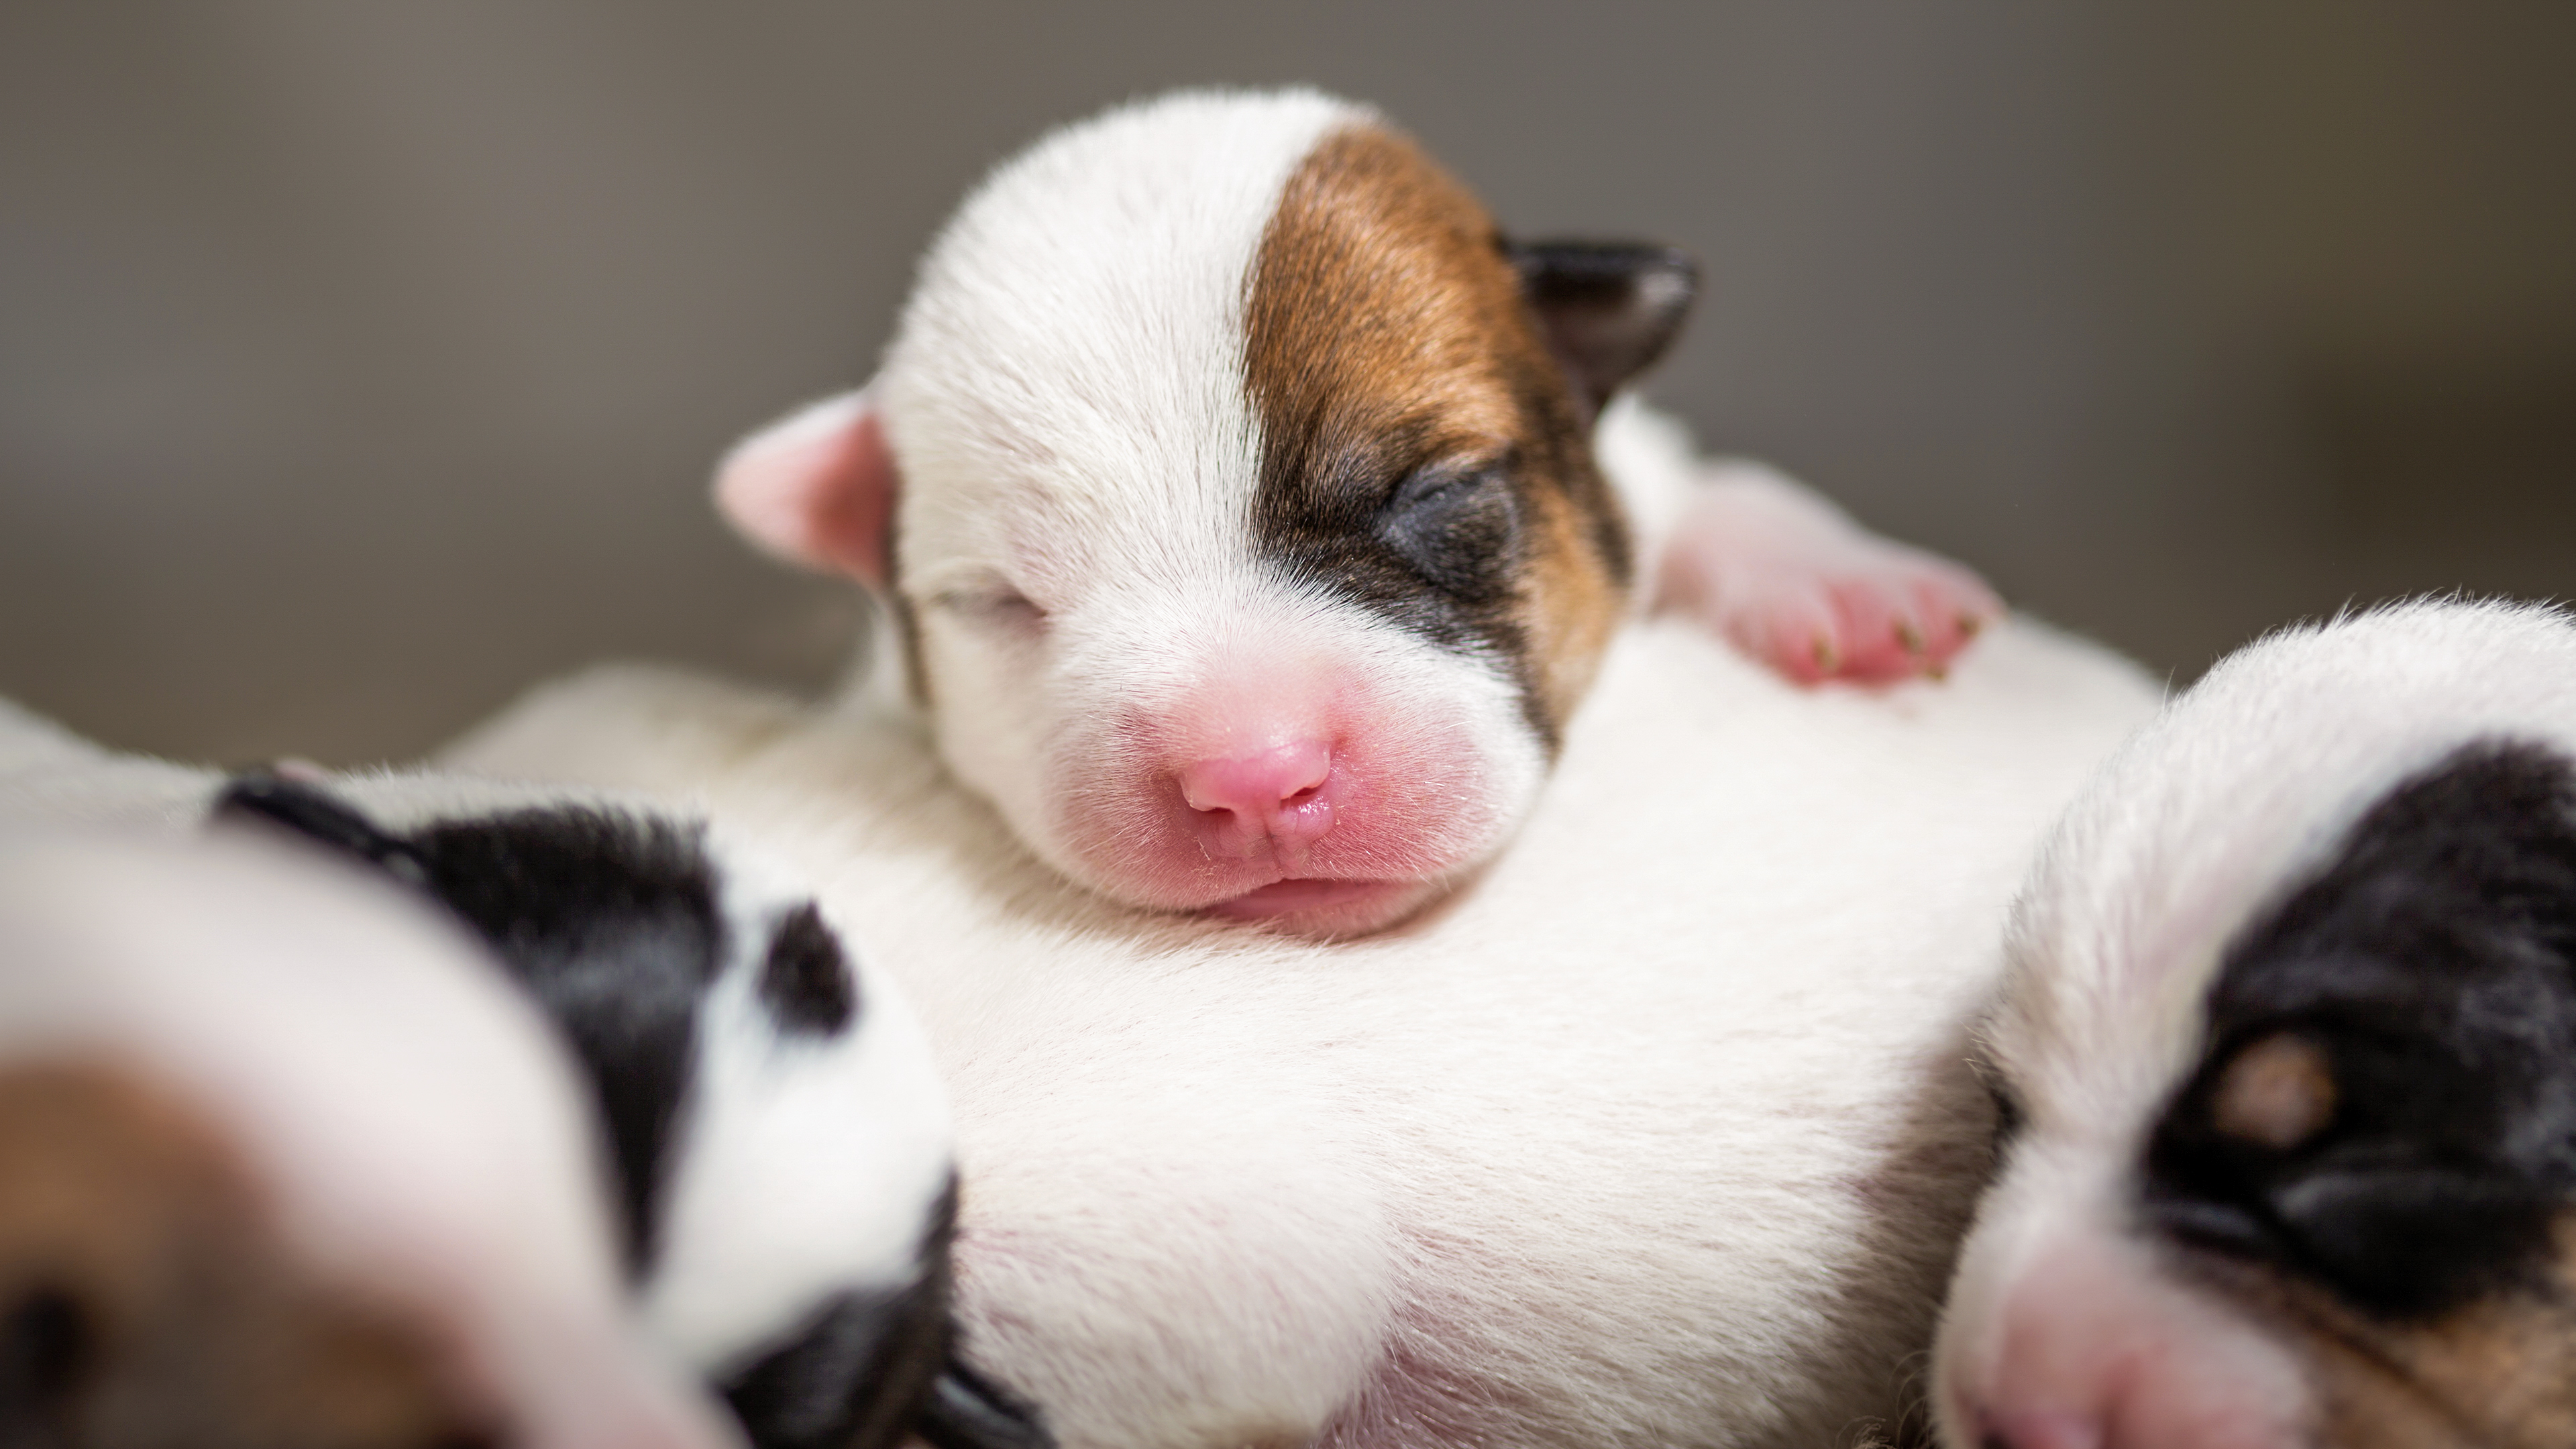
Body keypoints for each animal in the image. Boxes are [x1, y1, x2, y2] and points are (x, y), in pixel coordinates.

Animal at [716, 84, 1998, 938]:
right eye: (995, 602)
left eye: (1431, 494)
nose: (1252, 775)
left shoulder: (1643, 460)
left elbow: (1721, 489)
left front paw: (1851, 590)